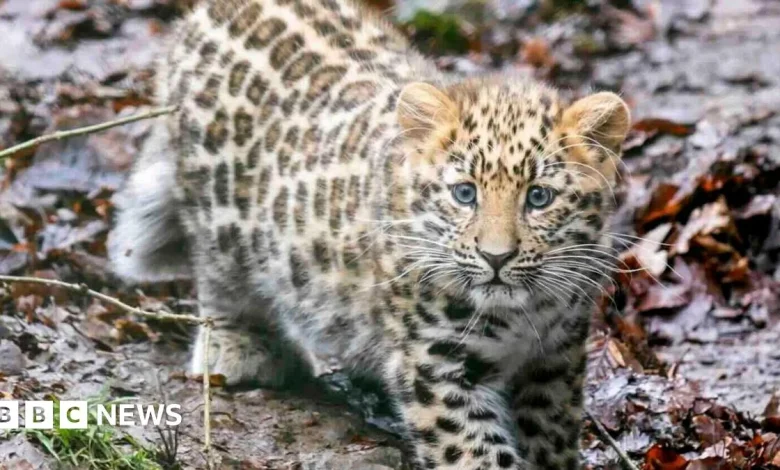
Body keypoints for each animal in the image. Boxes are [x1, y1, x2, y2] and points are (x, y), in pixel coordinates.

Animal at [107, 0, 631, 468]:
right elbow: (476, 455)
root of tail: (202, 15)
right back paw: (240, 349)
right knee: (221, 278)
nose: (496, 257)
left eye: (539, 197)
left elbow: (550, 436)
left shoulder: (557, 359)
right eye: (465, 193)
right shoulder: (434, 366)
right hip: (217, 214)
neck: (524, 312)